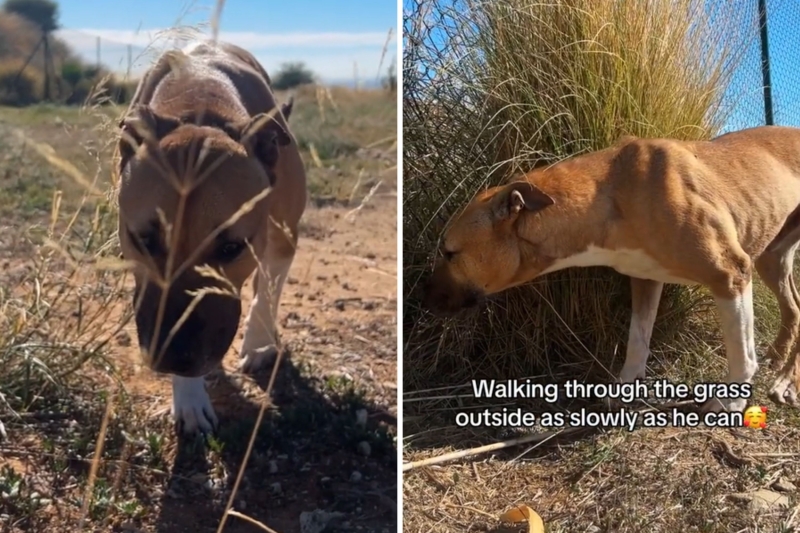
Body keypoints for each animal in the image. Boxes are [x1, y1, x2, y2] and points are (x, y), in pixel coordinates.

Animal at [117, 40, 308, 432]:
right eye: (143, 240)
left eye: (232, 247)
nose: (173, 358)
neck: (200, 103)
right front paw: (189, 398)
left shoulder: (283, 235)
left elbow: (266, 292)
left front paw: (258, 344)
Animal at [428, 125, 800, 412]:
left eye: (449, 253)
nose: (422, 295)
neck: (611, 193)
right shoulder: (645, 279)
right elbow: (637, 340)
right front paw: (625, 390)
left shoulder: (730, 275)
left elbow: (741, 352)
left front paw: (730, 401)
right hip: (771, 259)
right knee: (794, 308)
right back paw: (779, 362)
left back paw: (785, 382)